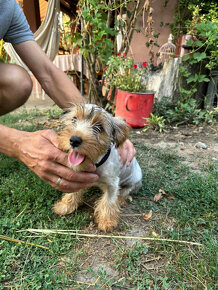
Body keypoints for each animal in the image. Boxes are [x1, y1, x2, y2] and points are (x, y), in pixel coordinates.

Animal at [52, 103, 141, 232]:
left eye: (99, 127)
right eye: (74, 119)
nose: (74, 140)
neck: (96, 164)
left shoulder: (112, 184)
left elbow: (109, 201)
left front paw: (107, 221)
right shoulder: (77, 177)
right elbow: (73, 192)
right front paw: (65, 205)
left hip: (133, 182)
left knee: (124, 192)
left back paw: (120, 200)